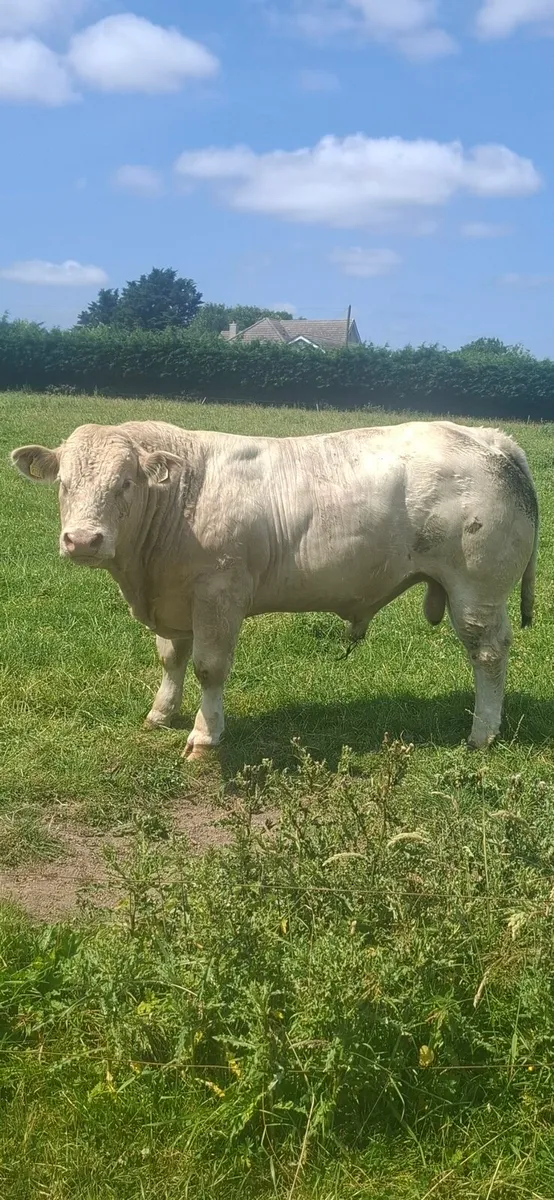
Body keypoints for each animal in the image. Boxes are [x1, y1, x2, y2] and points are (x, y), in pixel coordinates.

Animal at [11, 419, 538, 758]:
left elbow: (208, 668)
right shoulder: (174, 598)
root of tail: (486, 437)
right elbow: (171, 659)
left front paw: (204, 735)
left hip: (477, 592)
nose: (83, 540)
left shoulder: (219, 595)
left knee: (488, 654)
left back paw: (482, 734)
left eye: (125, 483)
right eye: (63, 482)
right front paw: (161, 713)